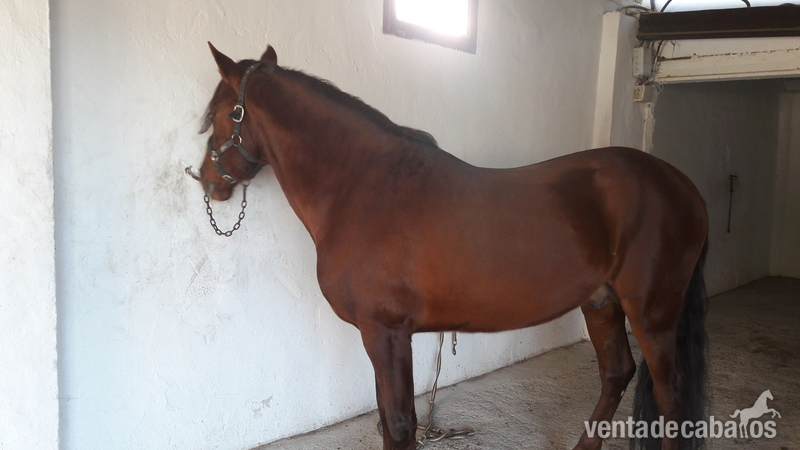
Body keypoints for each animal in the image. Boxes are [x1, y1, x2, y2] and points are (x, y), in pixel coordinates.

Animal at [189, 43, 710, 450]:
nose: (207, 180)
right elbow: (388, 420)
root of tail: (684, 185)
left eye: (218, 115)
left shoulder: (385, 332)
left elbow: (400, 424)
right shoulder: (381, 334)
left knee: (670, 393)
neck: (363, 188)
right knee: (617, 373)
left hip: (652, 313)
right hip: (601, 303)